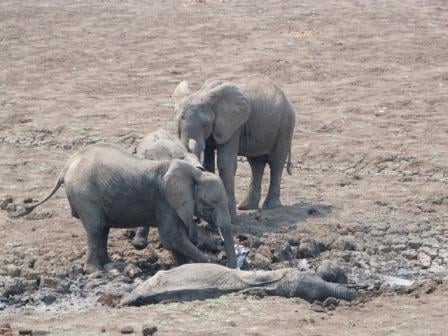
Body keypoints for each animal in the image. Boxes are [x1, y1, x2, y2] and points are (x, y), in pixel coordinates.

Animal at [9, 143, 238, 272]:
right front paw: (211, 264)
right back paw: (96, 271)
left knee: (103, 229)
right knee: (95, 228)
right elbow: (171, 237)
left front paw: (185, 267)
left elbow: (175, 239)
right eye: (210, 205)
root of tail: (67, 166)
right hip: (85, 194)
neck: (194, 173)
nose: (233, 267)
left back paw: (111, 265)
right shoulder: (165, 202)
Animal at [171, 75, 294, 220]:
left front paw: (231, 218)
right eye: (178, 123)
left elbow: (226, 163)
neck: (204, 93)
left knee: (276, 162)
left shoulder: (233, 126)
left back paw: (271, 206)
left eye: (205, 125)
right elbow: (208, 162)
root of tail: (287, 99)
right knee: (256, 162)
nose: (196, 218)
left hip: (285, 125)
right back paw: (247, 206)